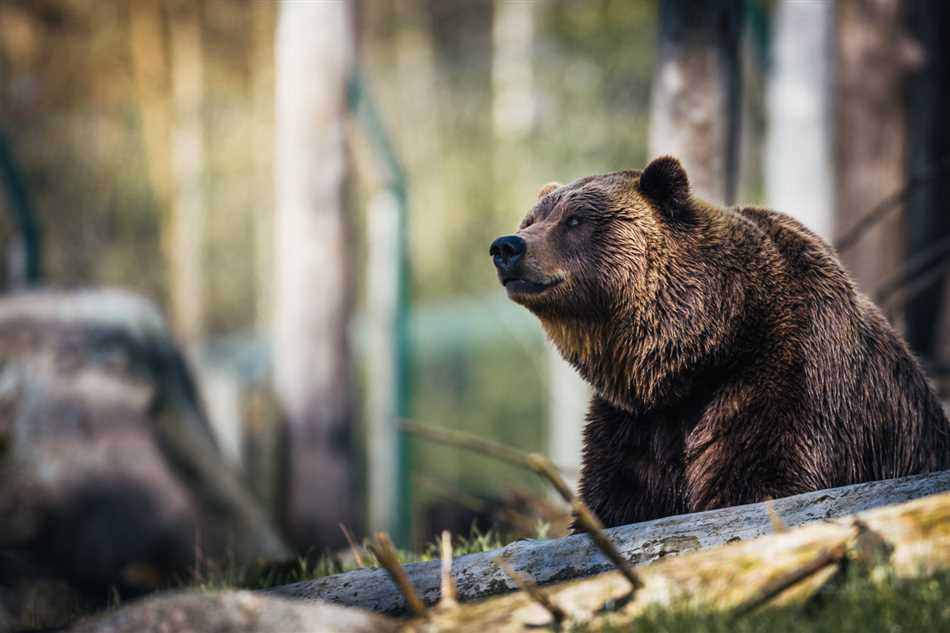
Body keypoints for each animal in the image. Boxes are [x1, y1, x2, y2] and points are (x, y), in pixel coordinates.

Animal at [490, 156, 950, 524]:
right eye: (531, 220)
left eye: (575, 220)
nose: (507, 246)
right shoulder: (637, 422)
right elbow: (619, 497)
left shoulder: (785, 378)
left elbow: (760, 479)